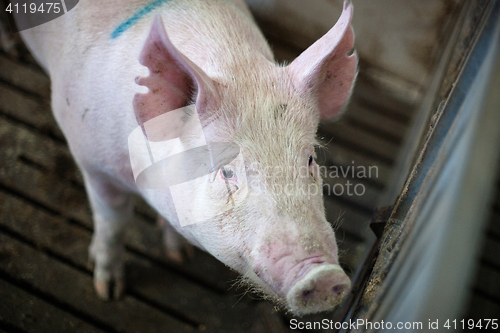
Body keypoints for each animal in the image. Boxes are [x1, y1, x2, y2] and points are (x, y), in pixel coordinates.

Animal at [17, 0, 358, 316]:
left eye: (310, 160)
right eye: (227, 172)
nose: (323, 275)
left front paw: (179, 256)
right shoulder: (92, 161)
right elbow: (113, 223)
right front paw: (109, 292)